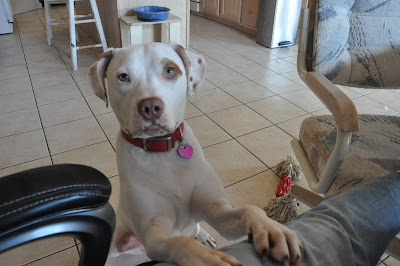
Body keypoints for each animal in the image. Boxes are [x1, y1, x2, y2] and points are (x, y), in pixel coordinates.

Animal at [90, 42, 304, 264]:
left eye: (170, 71)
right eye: (123, 77)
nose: (150, 107)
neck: (162, 152)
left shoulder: (217, 211)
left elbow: (248, 210)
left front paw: (271, 229)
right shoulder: (153, 234)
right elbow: (178, 242)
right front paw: (206, 258)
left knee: (195, 227)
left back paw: (202, 234)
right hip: (119, 243)